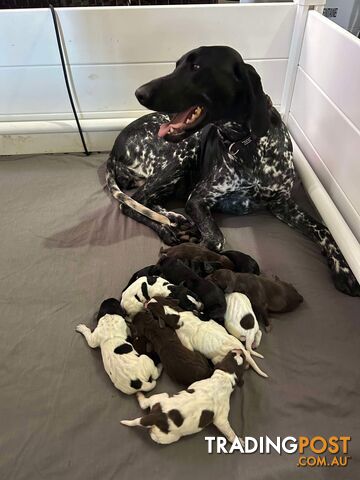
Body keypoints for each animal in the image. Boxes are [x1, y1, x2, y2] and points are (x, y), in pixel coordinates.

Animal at [107, 46, 360, 296]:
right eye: (176, 65)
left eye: (196, 67)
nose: (139, 92)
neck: (248, 144)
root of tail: (115, 147)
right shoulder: (198, 198)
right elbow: (215, 240)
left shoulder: (283, 206)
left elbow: (325, 229)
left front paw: (345, 269)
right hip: (183, 154)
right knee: (131, 203)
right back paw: (167, 227)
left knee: (145, 201)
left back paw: (175, 218)